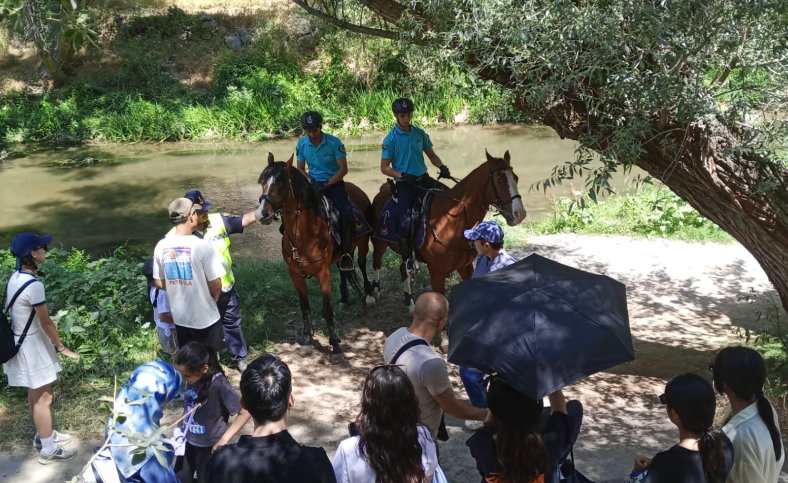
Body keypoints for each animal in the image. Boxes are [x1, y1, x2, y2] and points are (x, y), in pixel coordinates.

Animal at [255, 154, 372, 364]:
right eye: (262, 182)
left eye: (281, 183)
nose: (262, 214)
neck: (305, 232)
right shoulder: (295, 274)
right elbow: (305, 307)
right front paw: (308, 340)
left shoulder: (322, 273)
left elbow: (326, 309)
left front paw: (335, 346)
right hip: (343, 254)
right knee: (344, 268)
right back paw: (344, 299)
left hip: (364, 244)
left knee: (362, 264)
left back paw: (368, 296)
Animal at [372, 149, 528, 312]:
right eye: (499, 180)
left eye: (515, 178)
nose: (520, 214)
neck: (451, 222)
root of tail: (383, 190)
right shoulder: (437, 273)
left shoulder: (466, 268)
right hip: (379, 242)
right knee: (377, 262)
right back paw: (372, 295)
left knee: (403, 269)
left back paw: (410, 303)